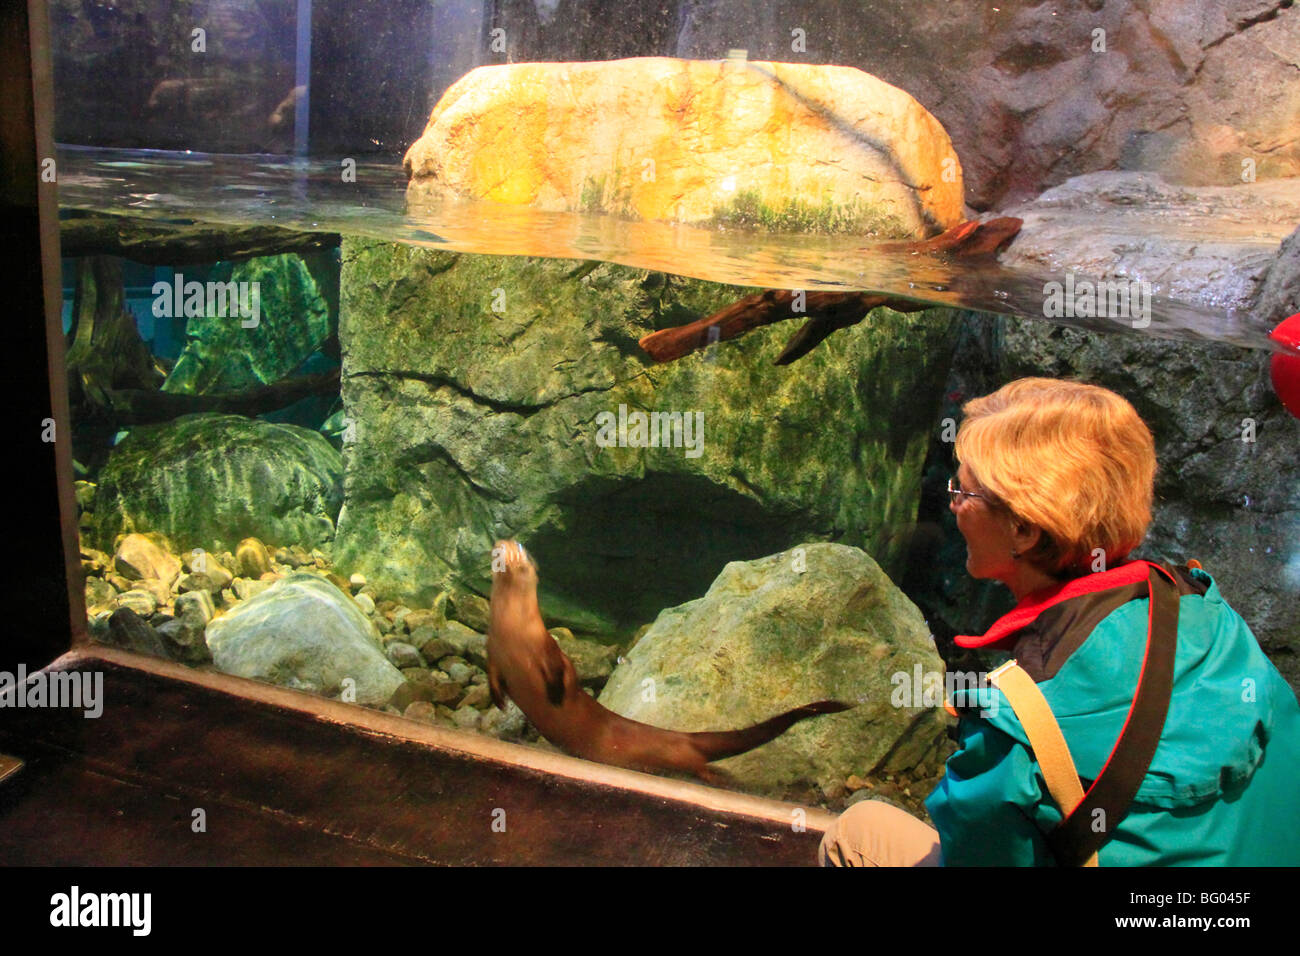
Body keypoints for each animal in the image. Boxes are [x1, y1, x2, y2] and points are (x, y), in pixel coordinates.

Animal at [487, 539, 851, 781]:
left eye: (521, 547)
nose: (505, 543)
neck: (514, 633)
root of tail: (685, 736)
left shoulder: (549, 649)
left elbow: (565, 673)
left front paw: (555, 693)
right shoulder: (495, 653)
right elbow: (493, 676)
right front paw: (499, 701)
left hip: (681, 755)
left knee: (699, 765)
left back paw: (719, 778)